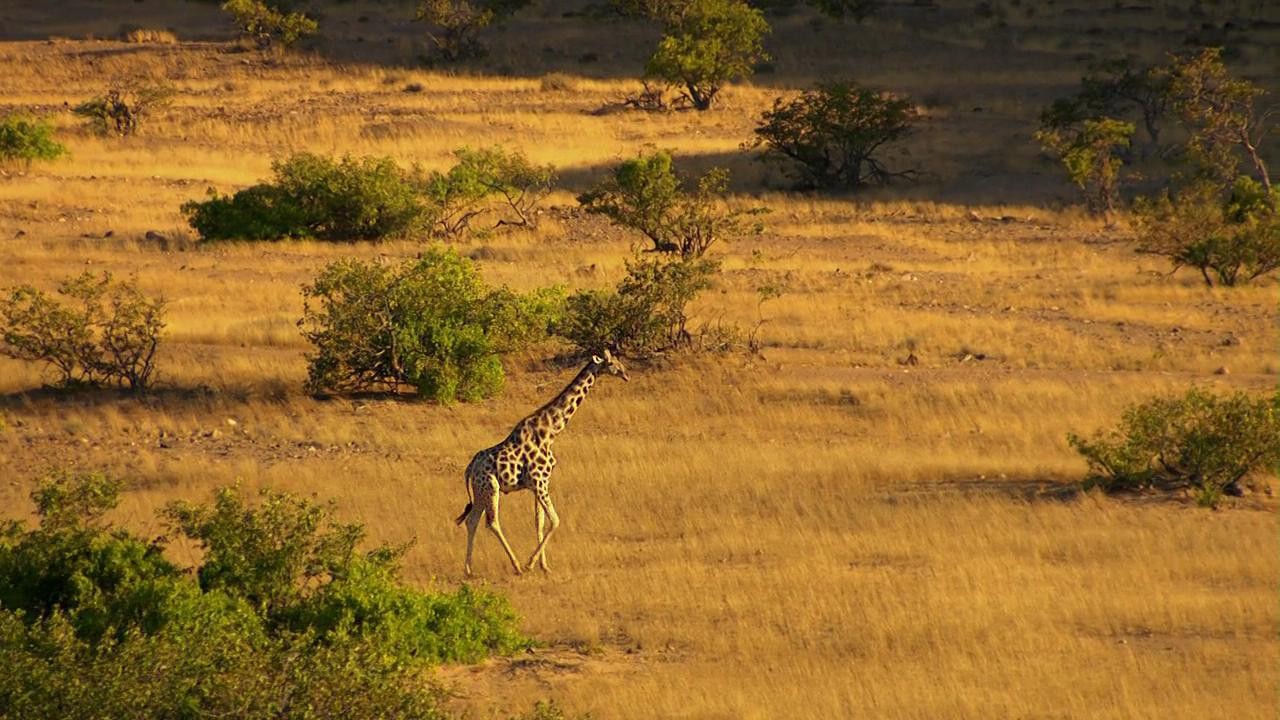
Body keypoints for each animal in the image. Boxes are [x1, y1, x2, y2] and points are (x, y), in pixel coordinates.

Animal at [455, 348, 629, 571]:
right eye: (611, 362)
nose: (625, 374)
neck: (551, 432)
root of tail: (469, 468)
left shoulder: (538, 484)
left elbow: (540, 521)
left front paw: (544, 566)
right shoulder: (539, 482)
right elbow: (555, 520)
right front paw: (530, 564)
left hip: (479, 491)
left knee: (472, 520)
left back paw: (468, 570)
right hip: (491, 486)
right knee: (492, 522)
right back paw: (516, 566)